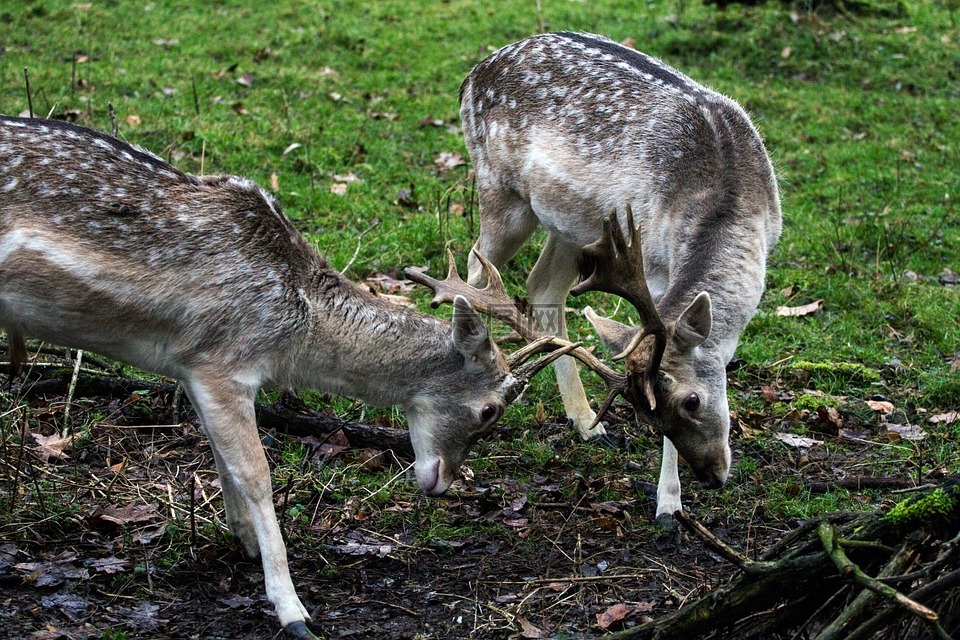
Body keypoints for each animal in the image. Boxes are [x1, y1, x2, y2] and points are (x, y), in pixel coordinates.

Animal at [0, 115, 577, 639]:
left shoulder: (190, 367)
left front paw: (243, 543)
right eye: (489, 410)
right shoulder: (224, 364)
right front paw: (292, 609)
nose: (443, 482)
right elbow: (257, 474)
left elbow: (223, 461)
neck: (293, 333)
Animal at [454, 32, 782, 523]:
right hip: (501, 192)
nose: (711, 475)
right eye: (658, 412)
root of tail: (470, 77)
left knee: (542, 284)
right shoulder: (653, 265)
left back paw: (586, 422)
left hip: (575, 223)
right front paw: (669, 506)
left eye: (690, 402)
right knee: (474, 271)